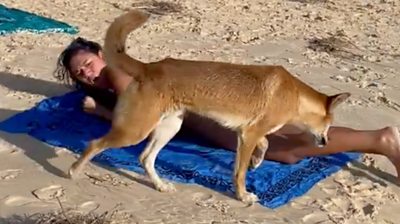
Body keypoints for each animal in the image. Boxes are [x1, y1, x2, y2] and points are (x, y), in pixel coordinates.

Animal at [68, 10, 350, 205]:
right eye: (330, 124)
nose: (325, 142)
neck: (295, 95)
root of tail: (149, 67)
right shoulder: (249, 135)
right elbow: (240, 173)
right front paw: (243, 195)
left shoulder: (248, 133)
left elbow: (265, 144)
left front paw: (257, 162)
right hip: (135, 130)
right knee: (95, 144)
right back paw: (73, 171)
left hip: (169, 127)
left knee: (145, 158)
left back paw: (160, 186)